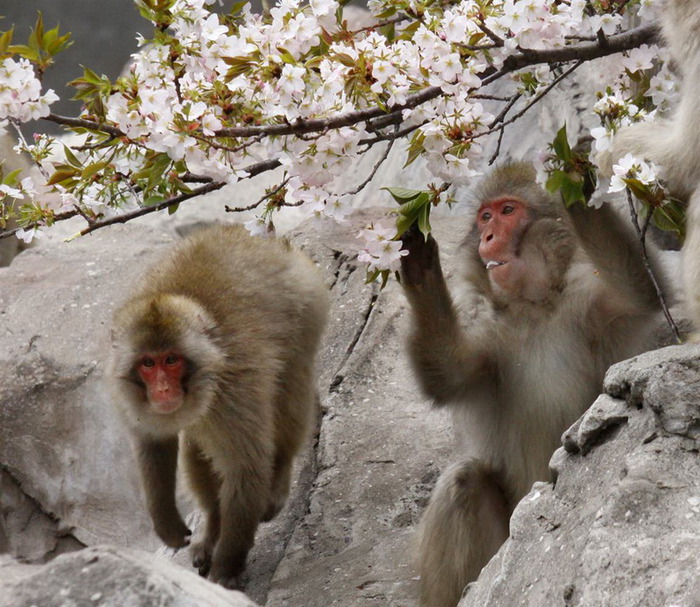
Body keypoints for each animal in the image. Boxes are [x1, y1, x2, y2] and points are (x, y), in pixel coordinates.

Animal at [106, 223, 330, 588]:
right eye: (148, 363)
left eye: (171, 360)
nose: (163, 389)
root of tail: (255, 235)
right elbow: (153, 442)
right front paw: (166, 523)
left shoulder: (233, 390)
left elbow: (245, 467)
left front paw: (227, 568)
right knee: (197, 444)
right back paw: (212, 528)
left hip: (307, 309)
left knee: (289, 392)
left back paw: (278, 480)